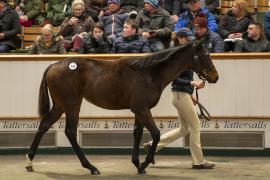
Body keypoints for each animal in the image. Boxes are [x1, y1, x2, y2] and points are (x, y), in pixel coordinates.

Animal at [25, 40, 219, 174]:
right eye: (205, 55)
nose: (215, 77)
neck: (149, 74)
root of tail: (53, 65)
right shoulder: (142, 109)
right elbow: (156, 134)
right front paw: (145, 163)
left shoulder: (140, 110)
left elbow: (137, 133)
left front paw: (138, 164)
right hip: (72, 104)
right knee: (70, 132)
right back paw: (91, 167)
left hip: (60, 105)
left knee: (44, 125)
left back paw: (29, 162)